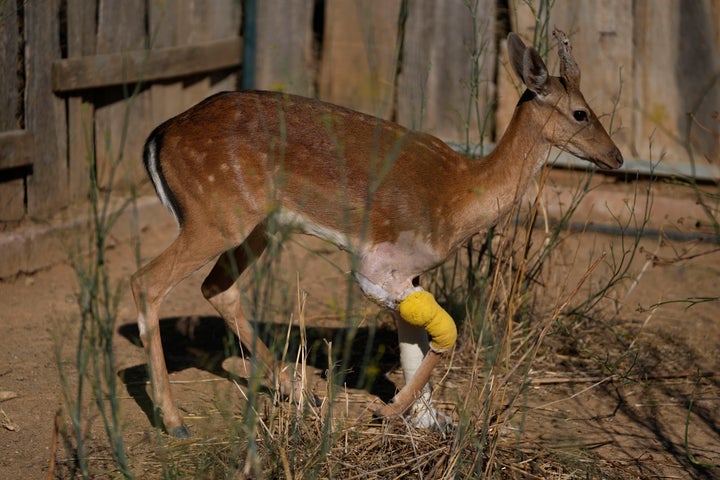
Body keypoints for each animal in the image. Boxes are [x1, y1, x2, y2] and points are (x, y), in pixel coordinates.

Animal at [131, 28, 624, 436]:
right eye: (581, 113)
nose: (617, 157)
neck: (459, 197)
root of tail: (156, 138)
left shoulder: (410, 271)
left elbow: (415, 340)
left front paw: (428, 419)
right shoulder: (374, 264)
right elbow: (446, 330)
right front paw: (392, 412)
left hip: (255, 226)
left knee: (217, 287)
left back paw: (302, 395)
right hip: (214, 214)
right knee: (145, 282)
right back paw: (174, 422)